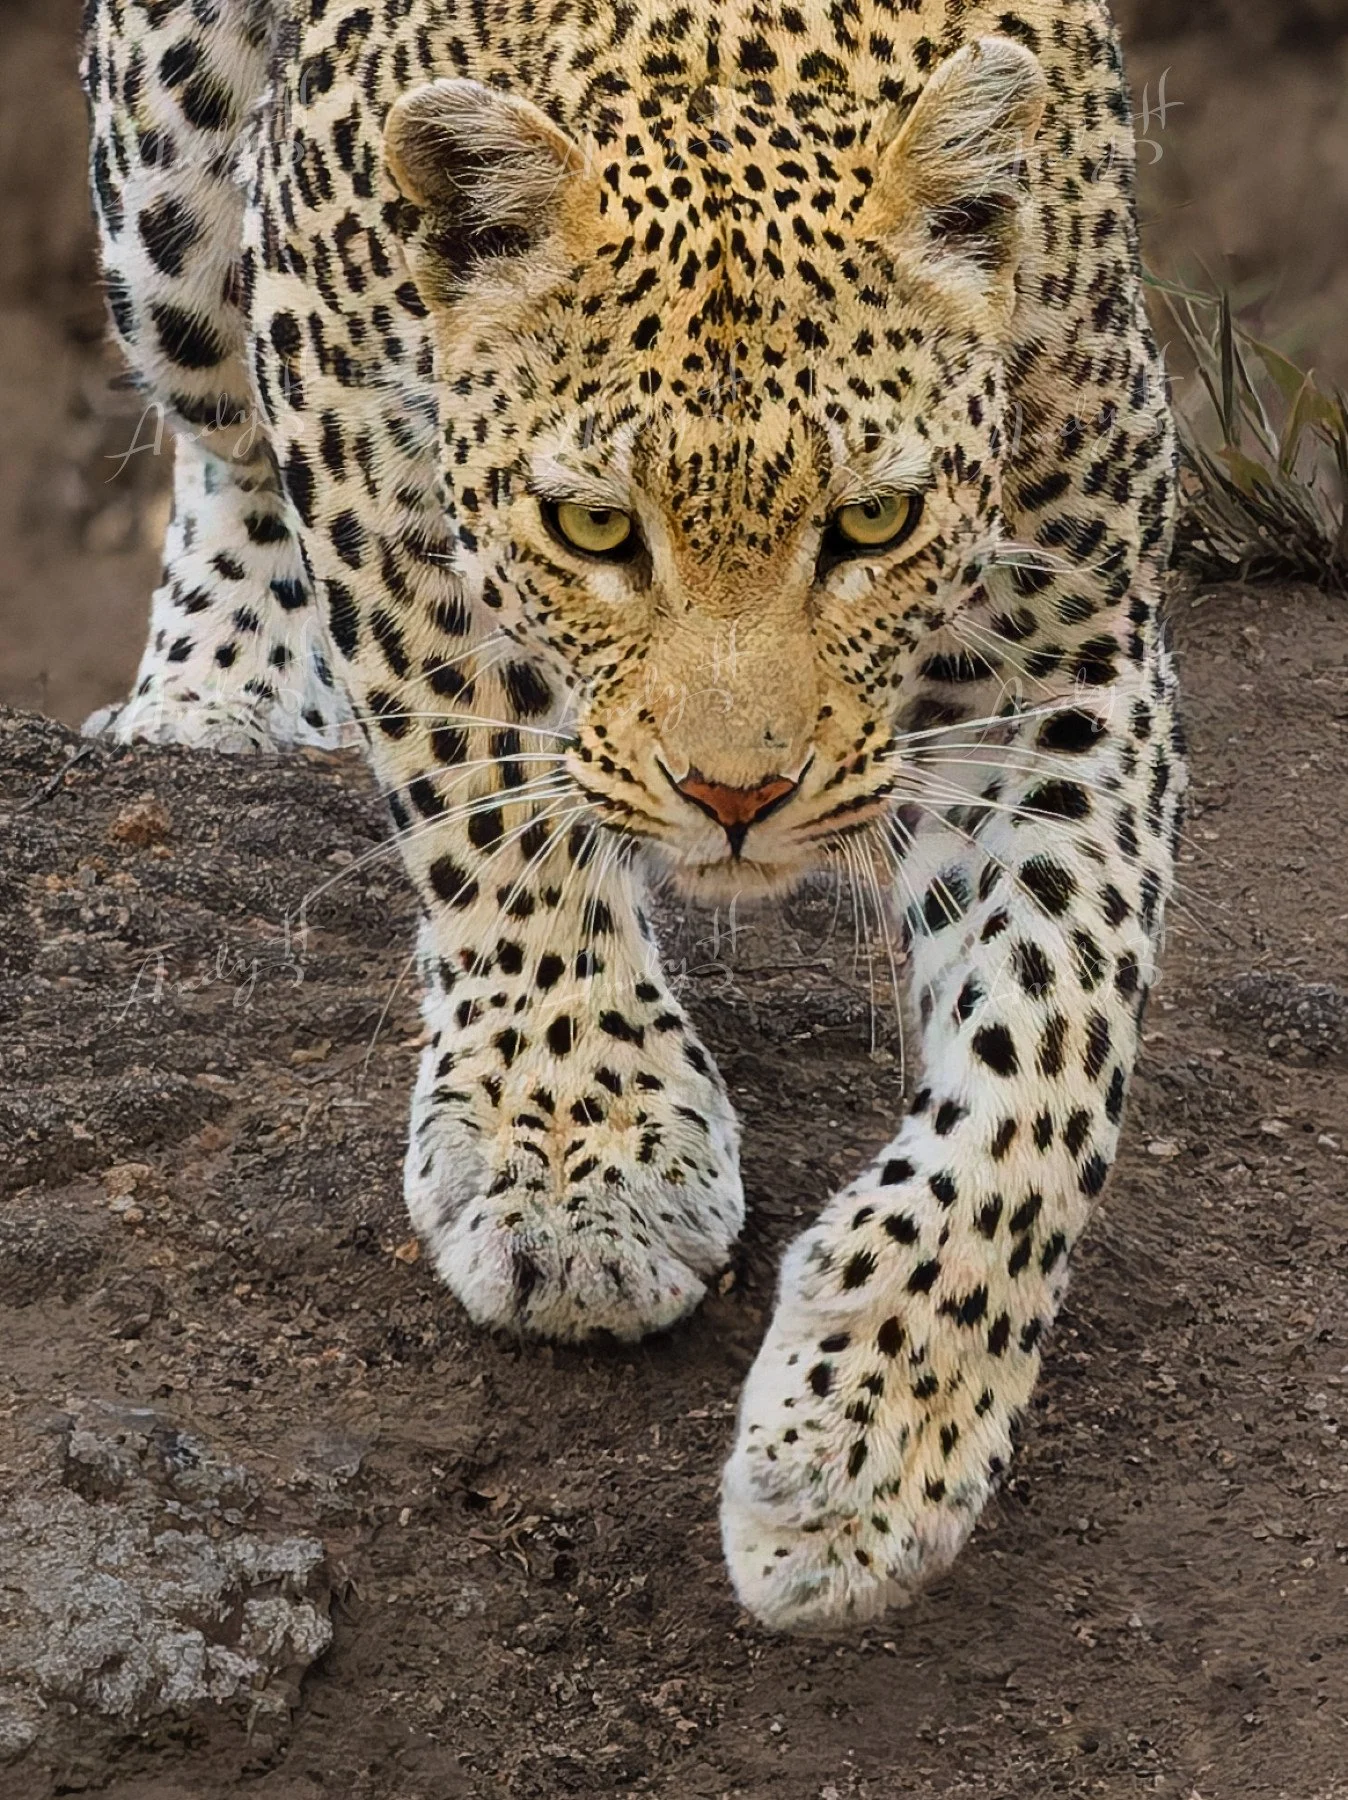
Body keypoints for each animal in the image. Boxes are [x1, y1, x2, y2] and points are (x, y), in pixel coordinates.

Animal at [80, 0, 1185, 1632]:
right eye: (596, 527)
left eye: (873, 523)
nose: (737, 796)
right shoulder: (346, 407)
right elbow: (481, 788)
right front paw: (571, 1153)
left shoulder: (1070, 666)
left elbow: (1050, 1054)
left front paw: (868, 1447)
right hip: (172, 198)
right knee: (218, 435)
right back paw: (207, 698)